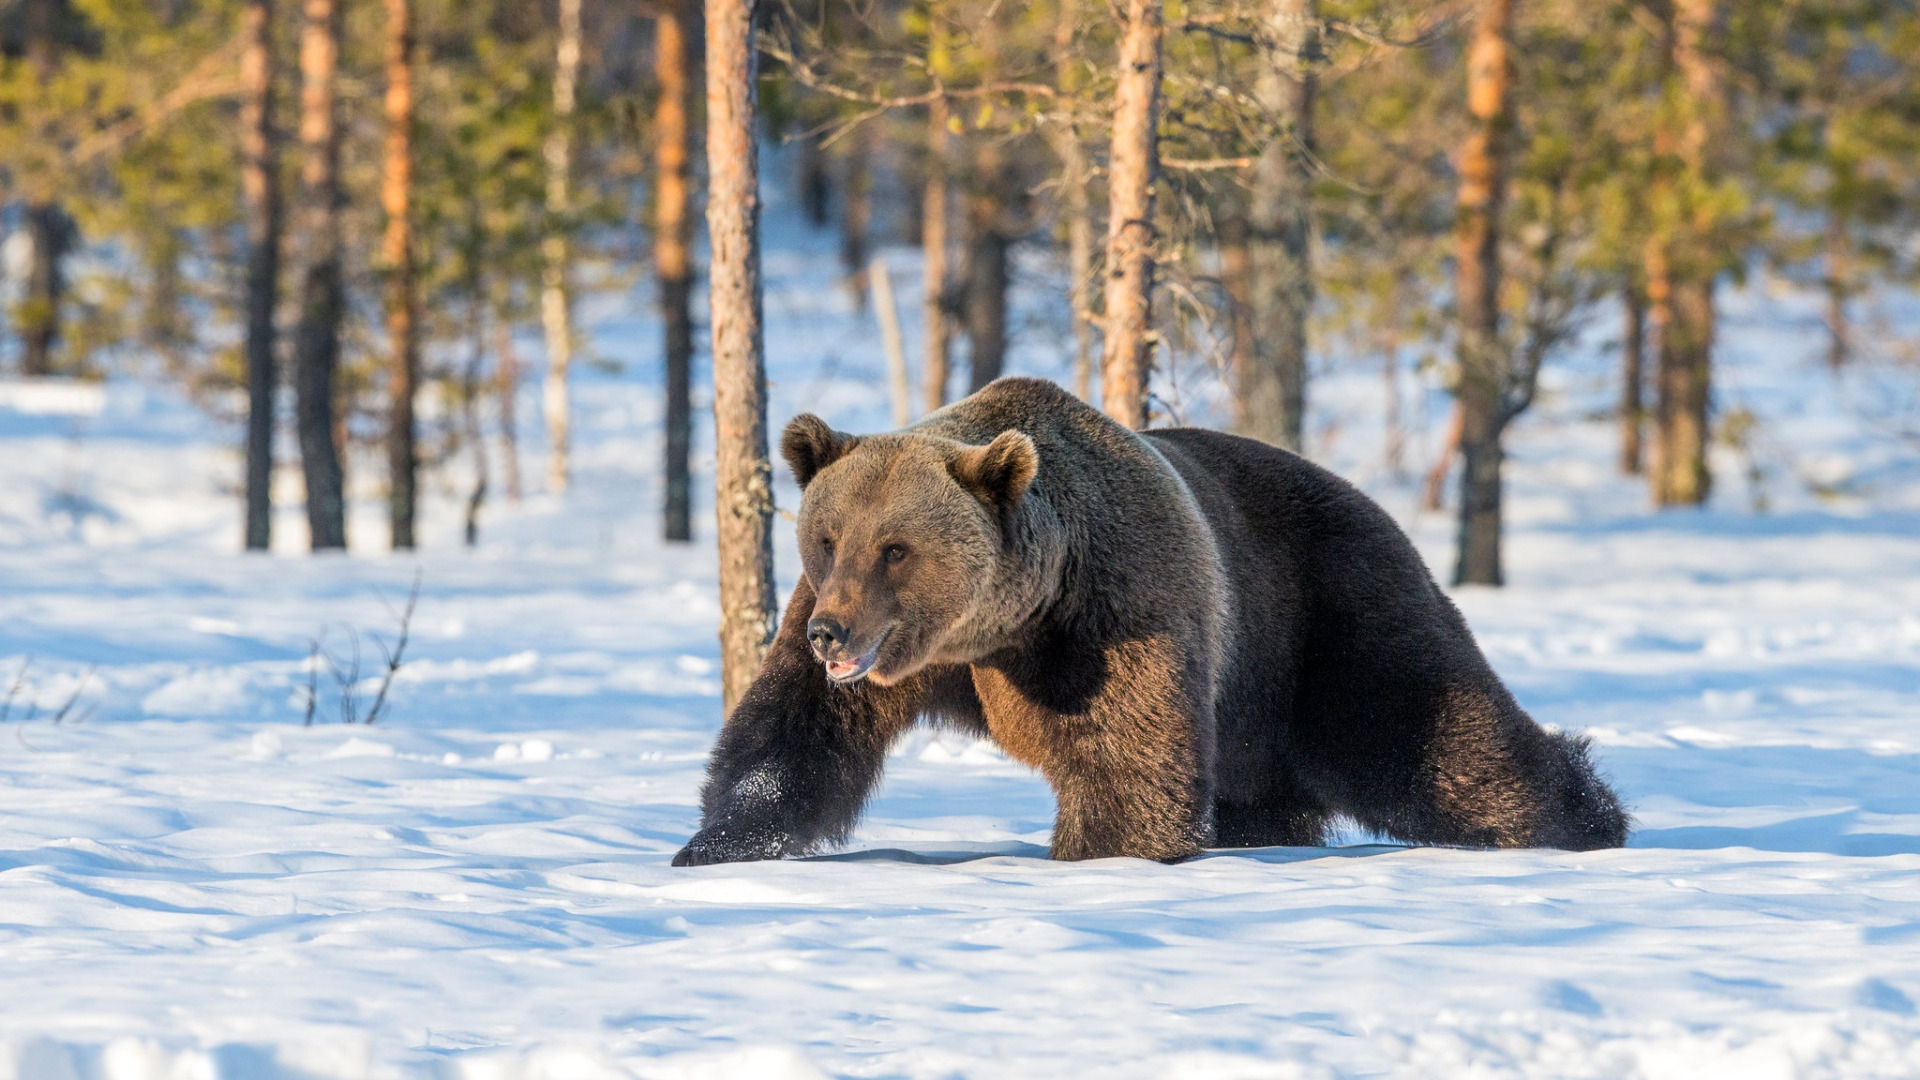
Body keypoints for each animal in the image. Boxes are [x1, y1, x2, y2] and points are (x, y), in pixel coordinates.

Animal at [668, 374, 1628, 860]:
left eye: (895, 548)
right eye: (827, 537)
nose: (832, 633)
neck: (1000, 627)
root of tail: (1367, 496)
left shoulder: (1117, 612)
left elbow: (1127, 762)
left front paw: (1103, 853)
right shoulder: (892, 656)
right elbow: (792, 732)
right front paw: (715, 846)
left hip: (1327, 613)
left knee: (1429, 729)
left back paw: (1583, 815)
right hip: (1256, 703)